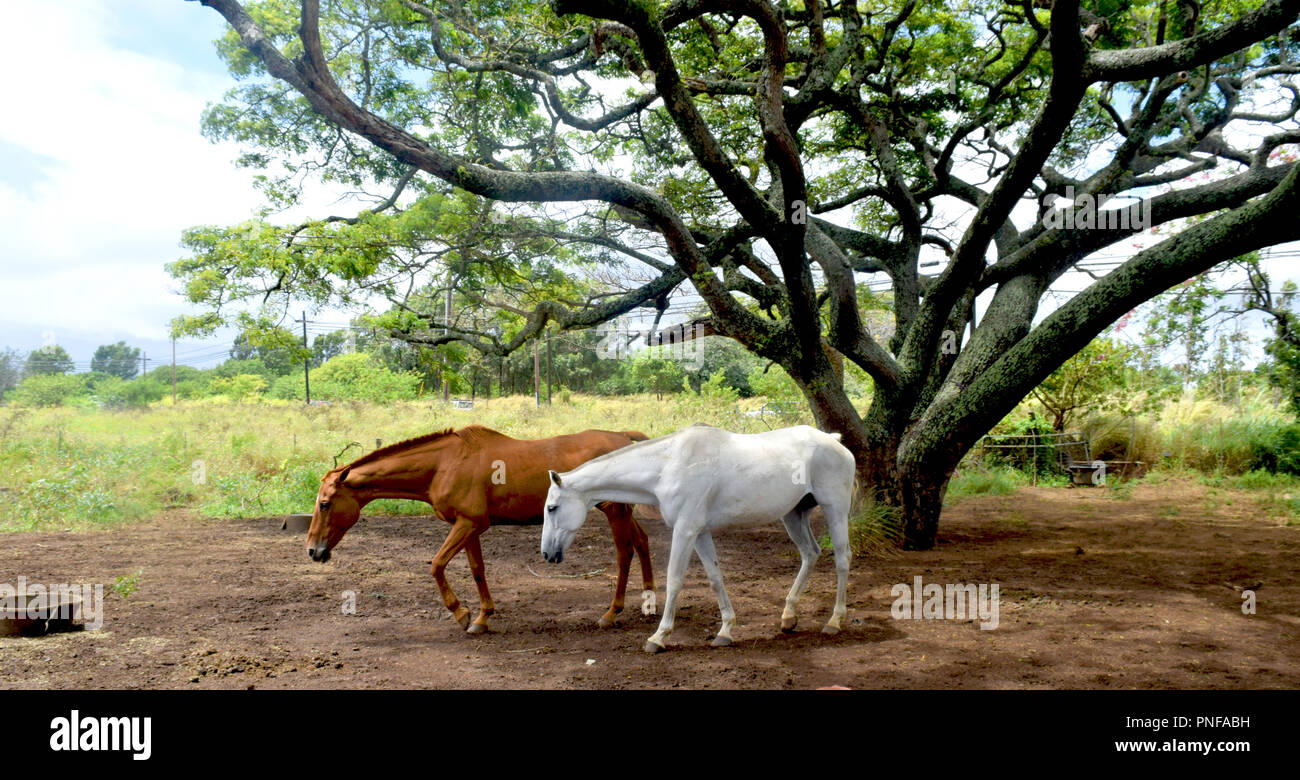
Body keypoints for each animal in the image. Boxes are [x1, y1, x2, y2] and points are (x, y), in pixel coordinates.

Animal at [304, 426, 655, 634]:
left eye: (324, 503)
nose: (313, 550)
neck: (443, 464)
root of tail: (622, 437)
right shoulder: (469, 526)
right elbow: (477, 570)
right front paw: (482, 617)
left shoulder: (469, 524)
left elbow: (436, 565)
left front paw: (460, 612)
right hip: (622, 511)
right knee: (642, 541)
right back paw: (650, 603)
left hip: (614, 511)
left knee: (624, 553)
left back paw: (612, 613)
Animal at [538, 423, 852, 655]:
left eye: (552, 507)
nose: (546, 554)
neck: (668, 465)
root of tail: (832, 440)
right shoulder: (700, 533)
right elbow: (715, 577)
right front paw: (725, 630)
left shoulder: (685, 530)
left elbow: (675, 580)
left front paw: (658, 636)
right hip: (794, 515)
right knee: (810, 554)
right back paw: (788, 617)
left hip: (835, 509)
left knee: (842, 559)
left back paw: (835, 621)